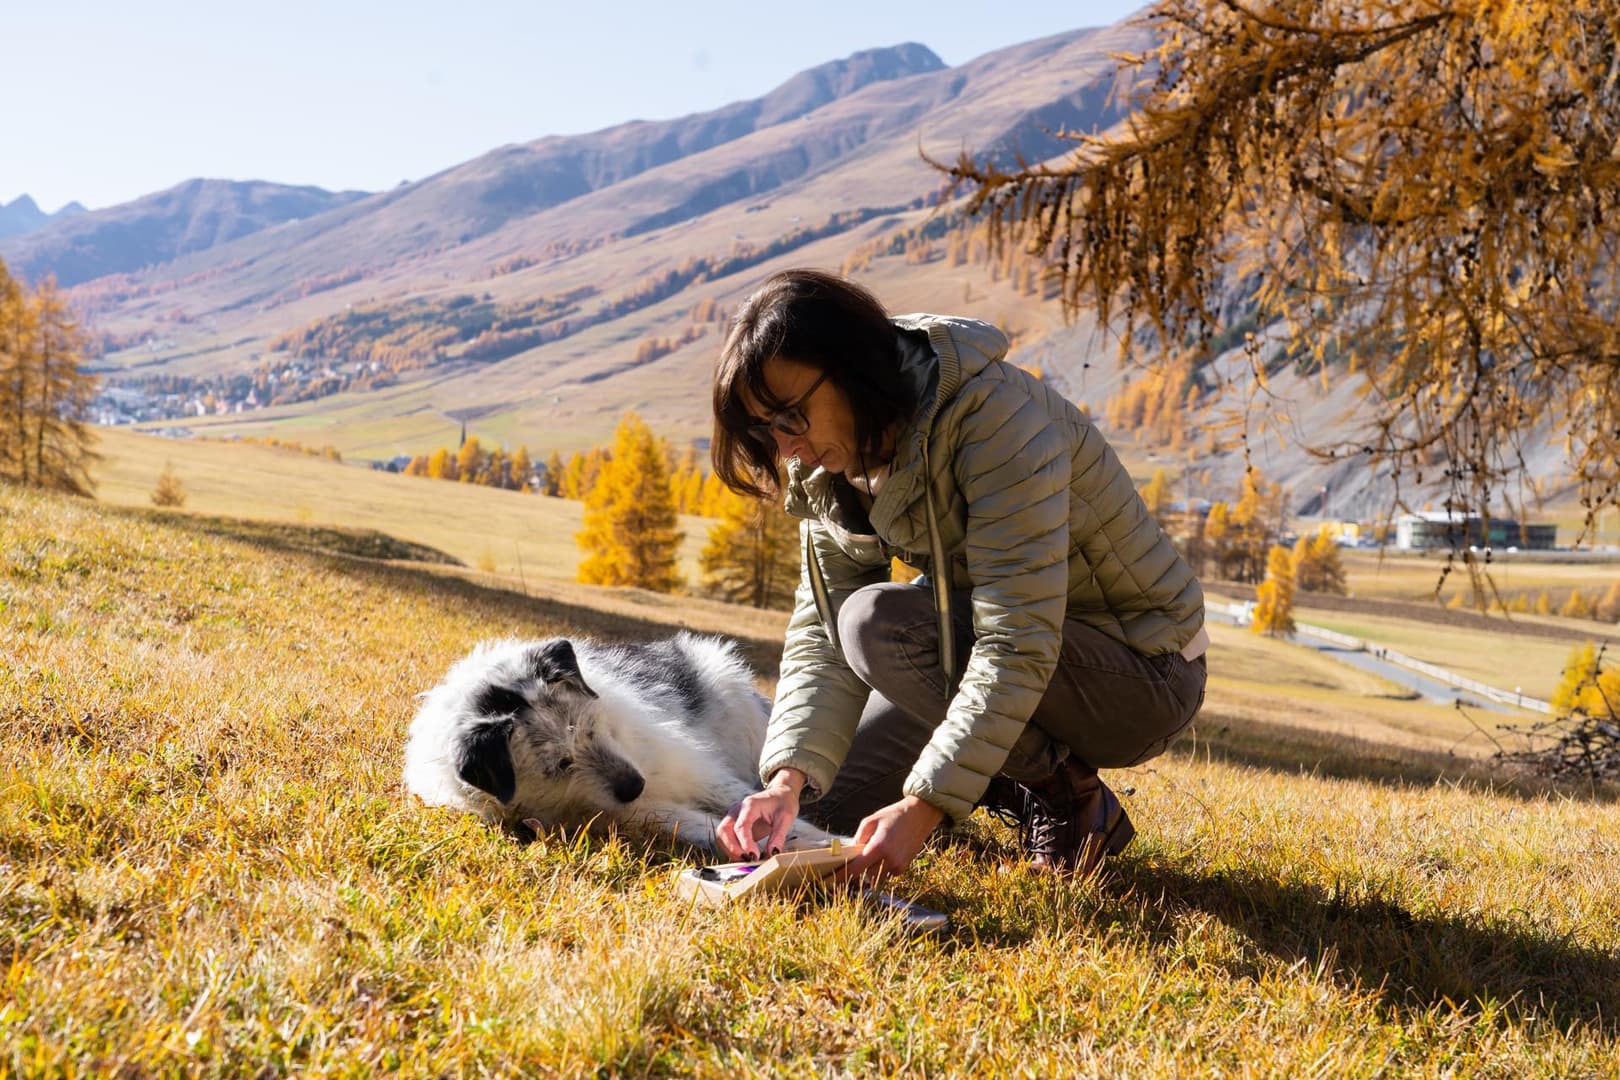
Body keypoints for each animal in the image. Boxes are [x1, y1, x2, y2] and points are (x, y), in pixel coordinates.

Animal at [401, 634, 835, 854]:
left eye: (592, 726)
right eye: (558, 765)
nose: (634, 785)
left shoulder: (692, 768)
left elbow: (745, 800)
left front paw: (827, 840)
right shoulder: (636, 809)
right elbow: (700, 823)